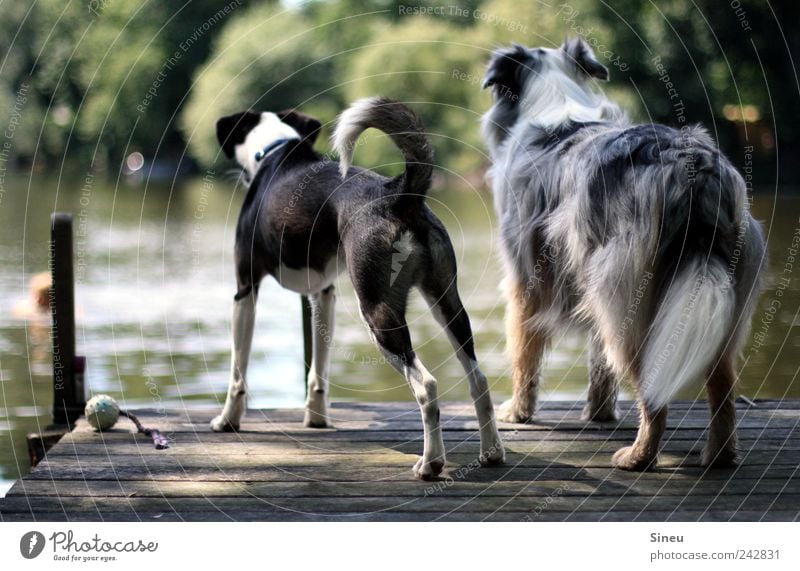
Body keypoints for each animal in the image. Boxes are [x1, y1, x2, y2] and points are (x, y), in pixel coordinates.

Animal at [212, 97, 500, 478]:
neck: (277, 151)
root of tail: (397, 194)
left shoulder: (245, 290)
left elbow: (237, 372)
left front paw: (227, 420)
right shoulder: (324, 293)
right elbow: (318, 369)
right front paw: (316, 419)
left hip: (378, 313)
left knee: (426, 385)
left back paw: (431, 463)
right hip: (447, 301)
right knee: (478, 378)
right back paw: (492, 453)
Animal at [482, 39, 768, 470]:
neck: (556, 95)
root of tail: (694, 169)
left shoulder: (525, 280)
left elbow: (523, 353)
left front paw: (518, 413)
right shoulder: (588, 283)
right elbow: (599, 361)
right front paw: (599, 413)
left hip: (629, 297)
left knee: (653, 385)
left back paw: (638, 456)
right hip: (704, 295)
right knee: (722, 383)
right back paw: (718, 455)